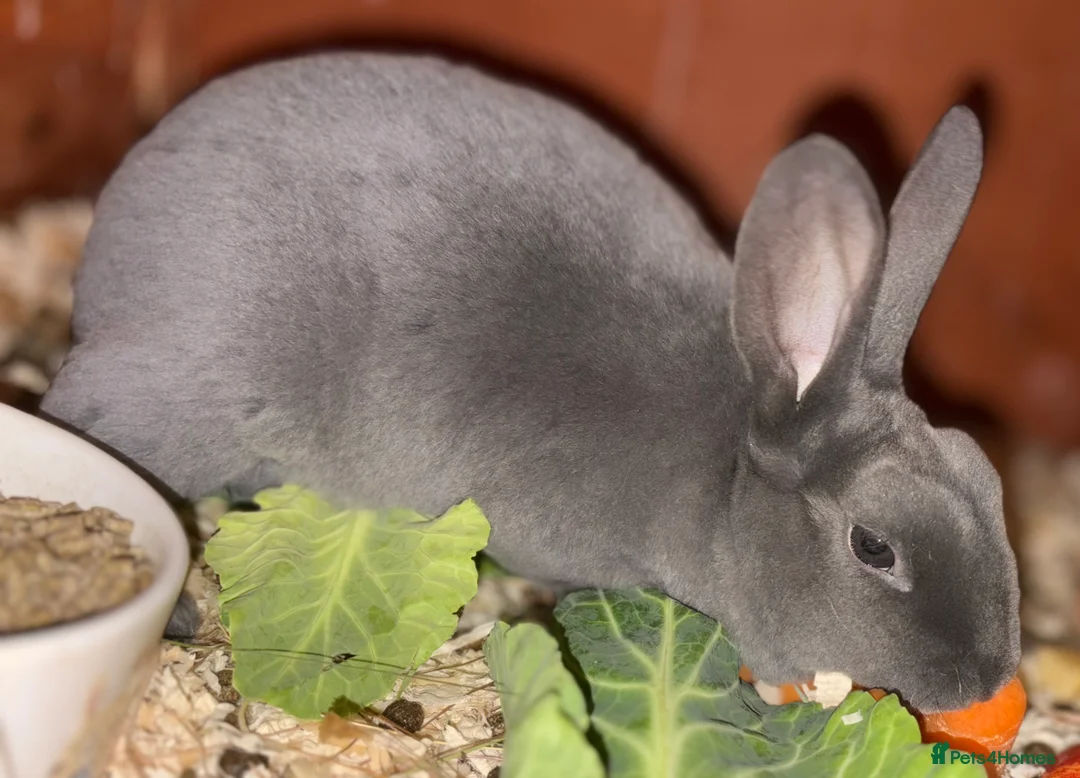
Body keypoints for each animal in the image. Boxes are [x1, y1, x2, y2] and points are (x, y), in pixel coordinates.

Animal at [40, 52, 1019, 713]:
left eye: (987, 475)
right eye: (873, 547)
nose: (991, 679)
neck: (722, 468)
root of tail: (108, 255)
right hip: (186, 401)